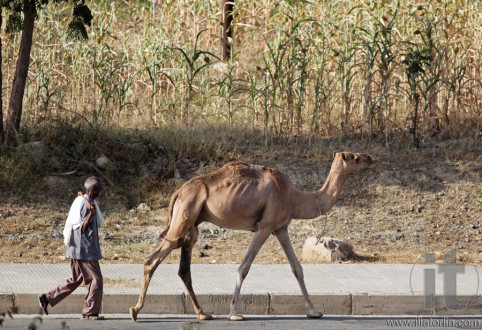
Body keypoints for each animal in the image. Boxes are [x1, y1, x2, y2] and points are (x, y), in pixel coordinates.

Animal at [130, 151, 374, 320]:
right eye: (354, 157)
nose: (369, 157)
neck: (294, 197)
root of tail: (179, 192)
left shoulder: (280, 228)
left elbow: (297, 268)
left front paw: (314, 311)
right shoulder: (264, 227)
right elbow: (244, 266)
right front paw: (234, 313)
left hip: (192, 222)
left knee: (183, 268)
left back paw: (203, 313)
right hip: (184, 216)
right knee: (153, 259)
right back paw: (135, 310)